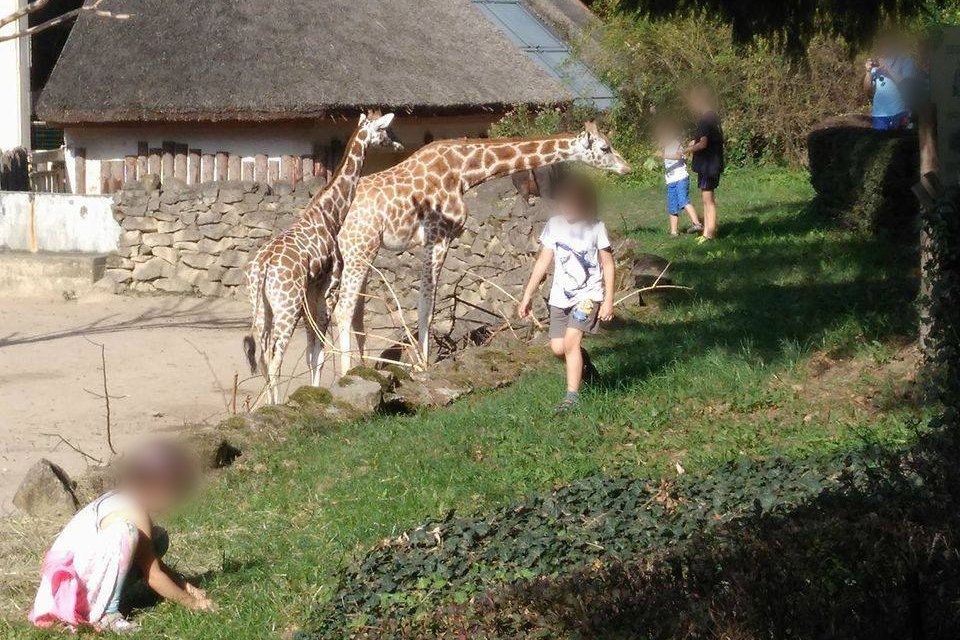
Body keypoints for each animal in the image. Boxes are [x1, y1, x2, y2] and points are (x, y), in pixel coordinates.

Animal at [244, 109, 402, 400]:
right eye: (385, 130)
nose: (398, 144)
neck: (330, 215)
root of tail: (263, 268)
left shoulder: (311, 291)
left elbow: (311, 352)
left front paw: (313, 392)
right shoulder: (330, 286)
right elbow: (319, 351)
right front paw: (316, 393)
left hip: (262, 309)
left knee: (262, 358)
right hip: (287, 306)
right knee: (274, 360)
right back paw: (276, 404)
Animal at [334, 120, 632, 372]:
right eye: (605, 147)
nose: (626, 168)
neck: (465, 170)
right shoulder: (439, 235)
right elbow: (426, 305)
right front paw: (423, 365)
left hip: (349, 255)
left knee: (350, 311)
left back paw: (357, 368)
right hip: (359, 248)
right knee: (342, 310)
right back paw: (347, 373)